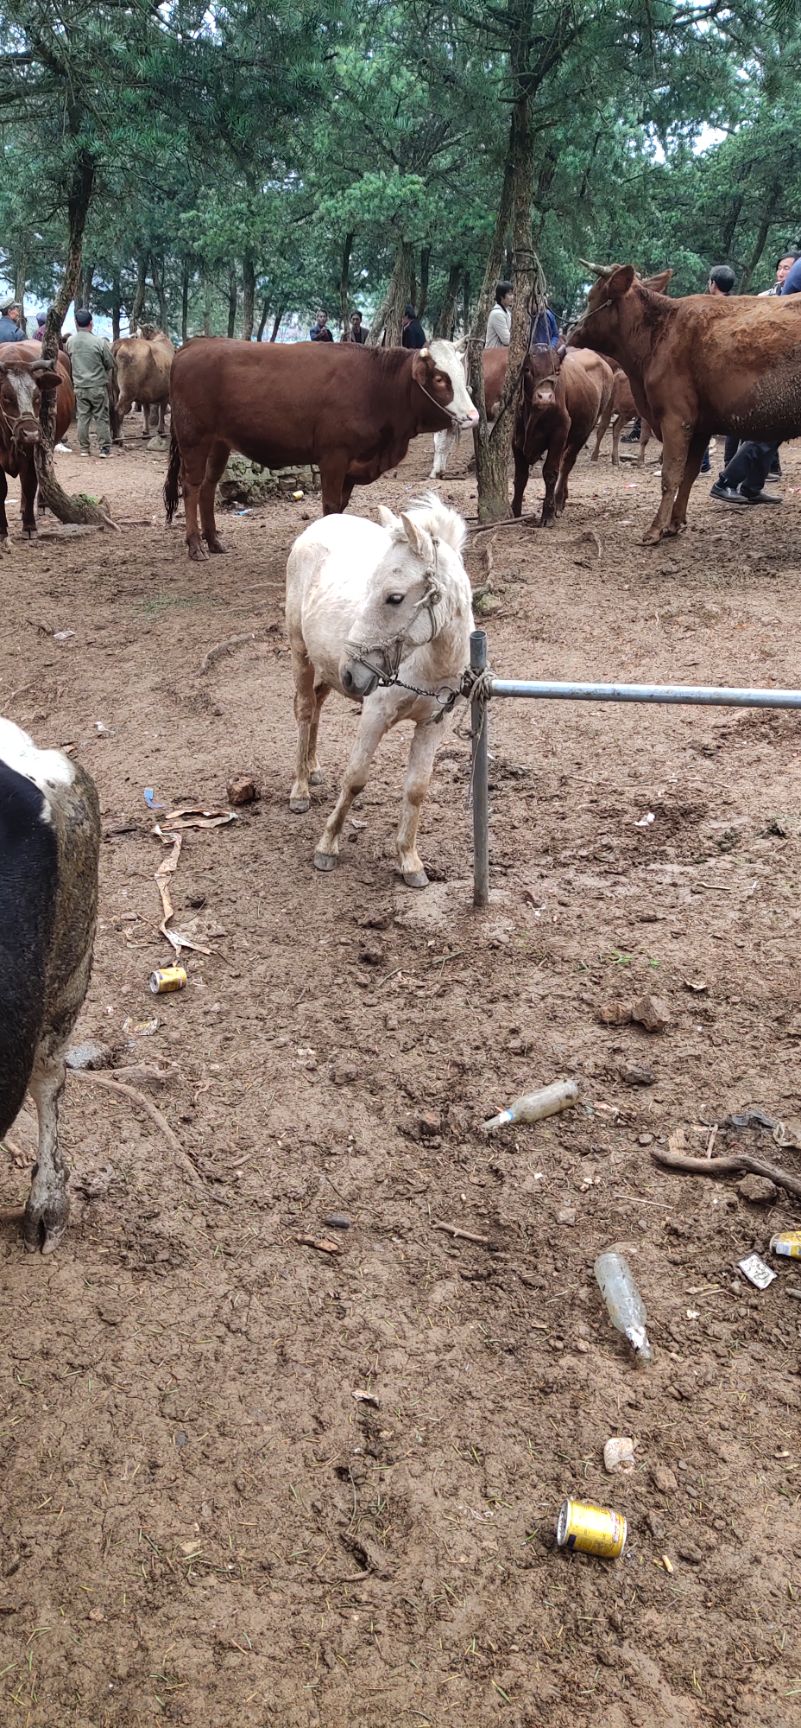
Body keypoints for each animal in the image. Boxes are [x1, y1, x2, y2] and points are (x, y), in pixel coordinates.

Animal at [285, 493, 474, 887]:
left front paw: (409, 860)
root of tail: (320, 524)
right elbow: (355, 778)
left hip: (327, 669)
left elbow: (416, 789)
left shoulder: (433, 724)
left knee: (318, 705)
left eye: (395, 597)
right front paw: (327, 847)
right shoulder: (374, 714)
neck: (428, 664)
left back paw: (313, 767)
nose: (352, 673)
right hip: (301, 652)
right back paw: (300, 789)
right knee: (305, 709)